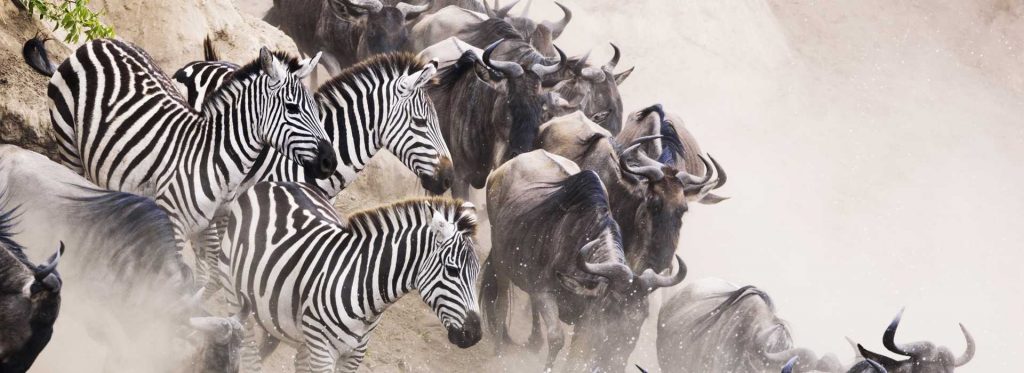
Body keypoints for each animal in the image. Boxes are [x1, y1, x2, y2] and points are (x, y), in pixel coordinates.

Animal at [27, 38, 335, 282]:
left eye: (315, 108)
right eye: (292, 108)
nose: (330, 162)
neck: (216, 161)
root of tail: (98, 41)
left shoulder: (210, 228)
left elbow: (207, 276)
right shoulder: (171, 223)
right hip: (68, 141)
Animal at [212, 180, 483, 370]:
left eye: (477, 273)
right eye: (452, 270)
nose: (475, 335)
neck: (361, 284)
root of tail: (271, 183)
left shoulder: (355, 354)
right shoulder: (323, 351)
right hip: (235, 297)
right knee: (249, 354)